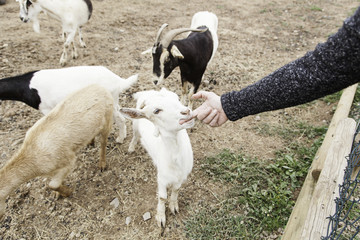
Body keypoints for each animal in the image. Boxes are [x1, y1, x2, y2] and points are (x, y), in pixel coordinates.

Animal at [0, 65, 139, 143]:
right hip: (115, 100)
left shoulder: (47, 108)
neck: (27, 86)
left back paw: (120, 139)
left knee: (120, 119)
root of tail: (118, 80)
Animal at [0, 84, 113, 219]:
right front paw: (58, 194)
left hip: (108, 115)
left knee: (104, 141)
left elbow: (52, 184)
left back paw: (102, 164)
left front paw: (68, 192)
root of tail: (100, 87)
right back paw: (90, 142)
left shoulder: (68, 161)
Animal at [120, 87, 194, 227]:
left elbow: (176, 189)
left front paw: (173, 206)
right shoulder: (162, 178)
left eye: (177, 99)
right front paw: (160, 217)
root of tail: (148, 92)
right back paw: (131, 147)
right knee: (135, 135)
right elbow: (162, 197)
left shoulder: (182, 176)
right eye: (156, 111)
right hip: (135, 125)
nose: (187, 111)